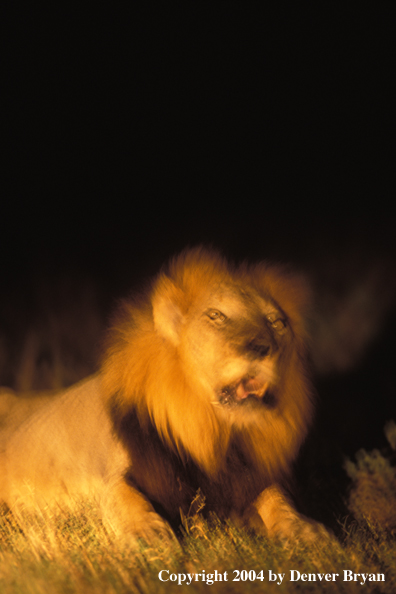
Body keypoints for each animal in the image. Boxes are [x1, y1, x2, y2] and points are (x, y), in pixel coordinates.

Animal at [0, 245, 328, 540]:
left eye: (276, 322)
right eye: (216, 316)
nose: (262, 348)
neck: (212, 432)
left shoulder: (244, 477)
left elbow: (278, 499)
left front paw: (307, 531)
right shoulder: (118, 472)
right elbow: (126, 499)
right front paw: (149, 538)